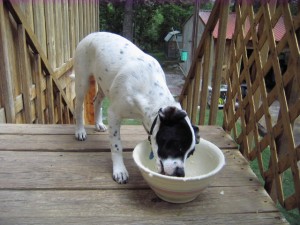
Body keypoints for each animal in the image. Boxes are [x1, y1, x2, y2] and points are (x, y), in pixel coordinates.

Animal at [74, 31, 199, 184]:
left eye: (190, 154)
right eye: (177, 146)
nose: (180, 173)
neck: (148, 88)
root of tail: (92, 34)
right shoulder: (114, 114)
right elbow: (116, 146)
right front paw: (120, 170)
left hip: (104, 86)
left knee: (96, 101)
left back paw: (98, 123)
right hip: (82, 83)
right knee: (78, 107)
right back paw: (80, 131)